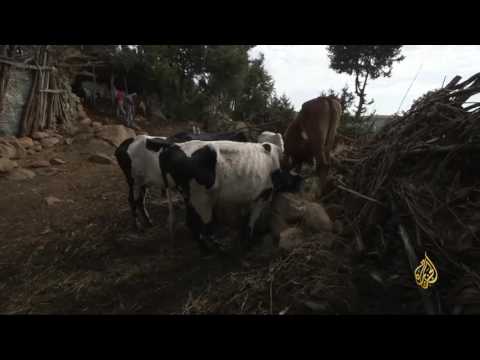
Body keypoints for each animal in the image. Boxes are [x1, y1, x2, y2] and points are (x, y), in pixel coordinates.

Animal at [146, 139, 302, 253]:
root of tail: (173, 145)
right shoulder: (264, 194)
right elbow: (253, 218)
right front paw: (248, 240)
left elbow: (245, 215)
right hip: (201, 199)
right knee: (204, 227)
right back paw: (217, 248)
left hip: (188, 197)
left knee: (191, 223)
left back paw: (205, 249)